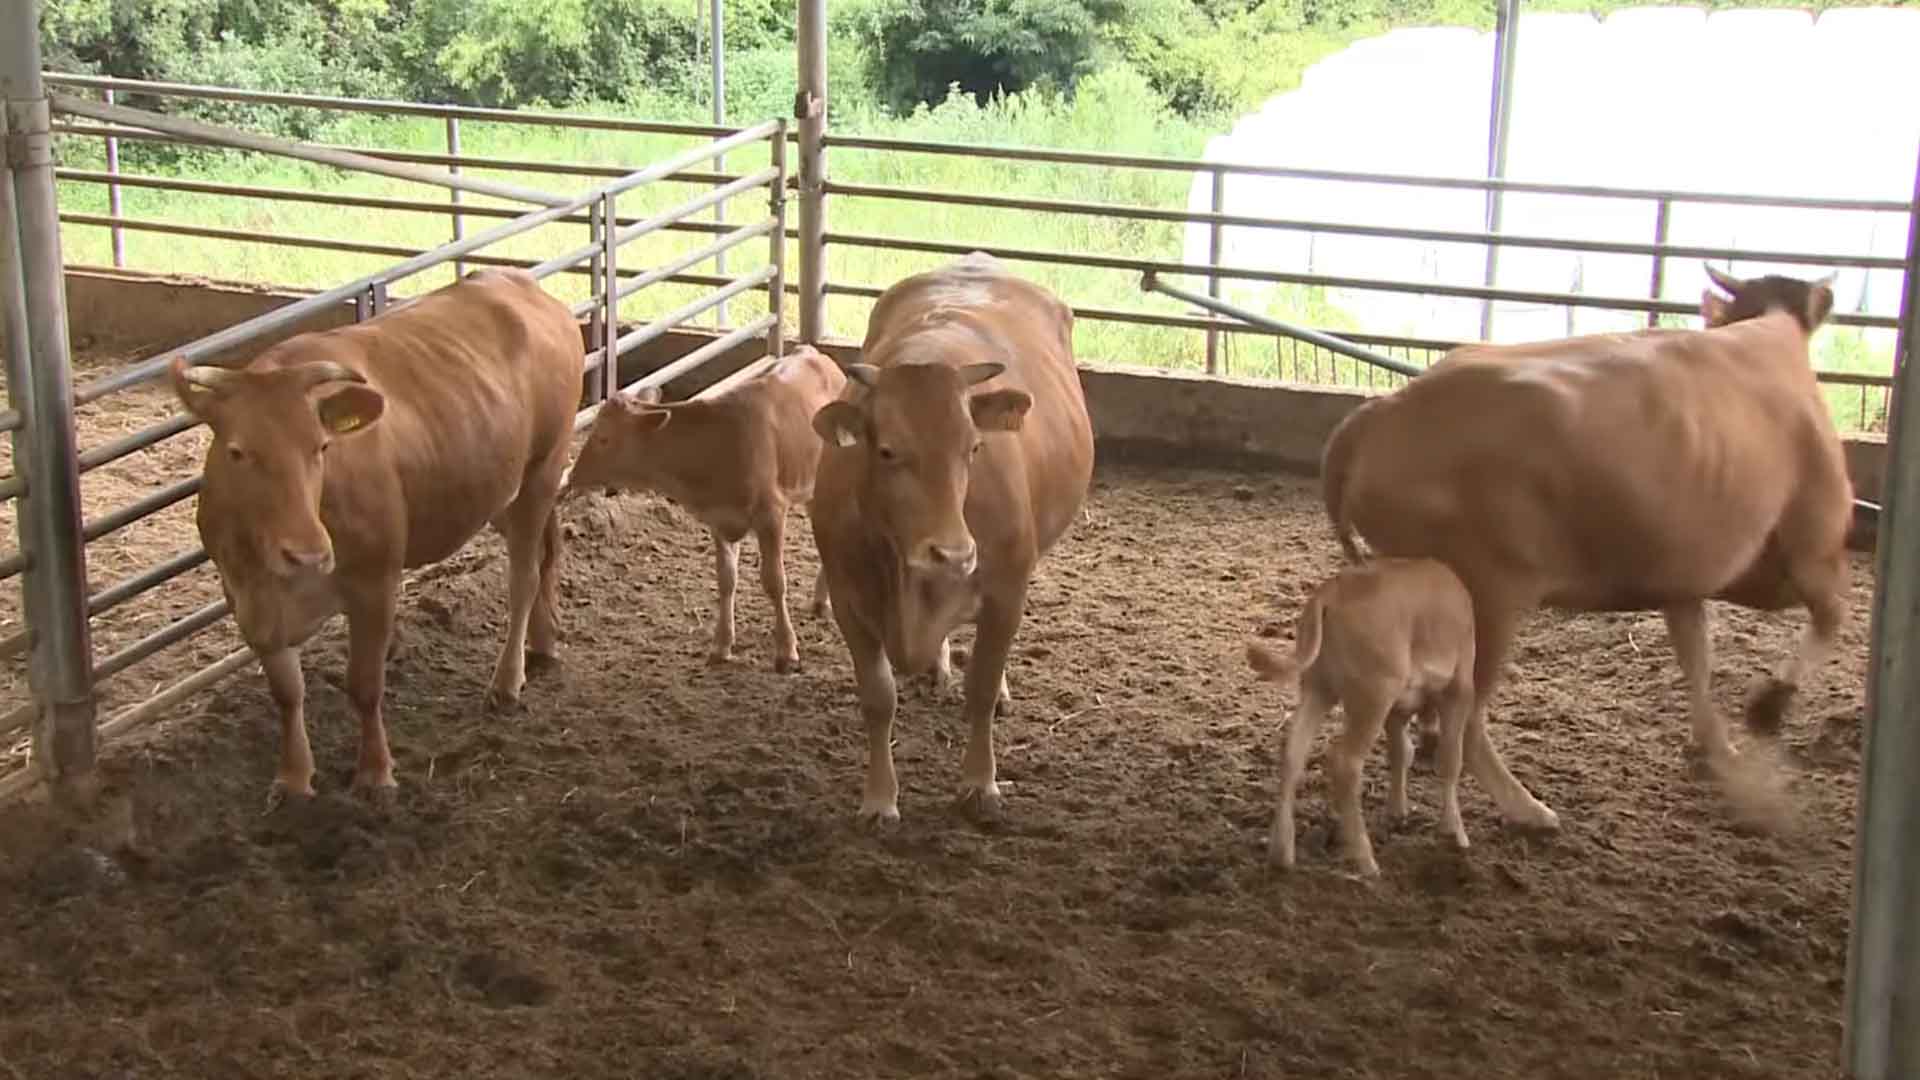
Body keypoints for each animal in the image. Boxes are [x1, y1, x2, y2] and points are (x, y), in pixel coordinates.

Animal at [168, 265, 579, 799]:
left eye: (321, 447)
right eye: (237, 451)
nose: (307, 554)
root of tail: (524, 287)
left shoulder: (375, 583)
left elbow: (364, 685)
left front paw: (375, 773)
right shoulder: (244, 596)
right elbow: (286, 692)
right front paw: (293, 776)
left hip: (543, 469)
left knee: (524, 577)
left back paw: (507, 680)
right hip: (500, 489)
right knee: (548, 549)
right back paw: (544, 640)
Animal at [560, 343, 848, 668]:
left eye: (604, 438)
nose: (573, 474)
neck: (718, 444)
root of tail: (812, 352)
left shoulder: (771, 514)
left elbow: (774, 581)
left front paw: (786, 651)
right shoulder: (719, 518)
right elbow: (726, 579)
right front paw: (721, 645)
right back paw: (820, 600)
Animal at [810, 251, 1098, 818]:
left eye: (974, 447)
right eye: (886, 450)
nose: (954, 553)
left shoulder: (1007, 591)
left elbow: (980, 688)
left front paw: (980, 783)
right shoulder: (848, 599)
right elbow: (877, 698)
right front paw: (880, 798)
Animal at [1251, 553, 1474, 876]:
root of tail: (1330, 592)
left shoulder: (1397, 708)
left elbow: (1401, 752)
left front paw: (1397, 810)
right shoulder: (1459, 689)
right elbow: (1450, 760)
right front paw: (1455, 832)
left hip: (1319, 688)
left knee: (1294, 751)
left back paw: (1281, 852)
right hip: (1373, 696)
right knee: (1346, 762)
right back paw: (1366, 861)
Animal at [1320, 263, 1843, 822]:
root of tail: (1385, 409)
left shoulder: (1682, 580)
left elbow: (1697, 660)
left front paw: (1717, 747)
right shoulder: (1816, 544)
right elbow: (1832, 616)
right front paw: (1770, 703)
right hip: (1490, 597)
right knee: (1470, 718)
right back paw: (1527, 809)